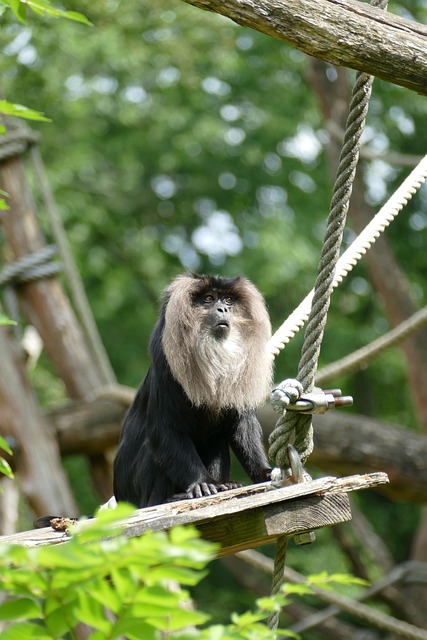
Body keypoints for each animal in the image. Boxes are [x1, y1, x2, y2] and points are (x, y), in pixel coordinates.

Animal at [113, 272, 274, 508]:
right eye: (208, 299)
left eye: (228, 301)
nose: (222, 309)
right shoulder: (166, 366)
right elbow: (164, 430)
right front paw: (203, 483)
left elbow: (242, 427)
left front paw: (265, 472)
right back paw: (171, 498)